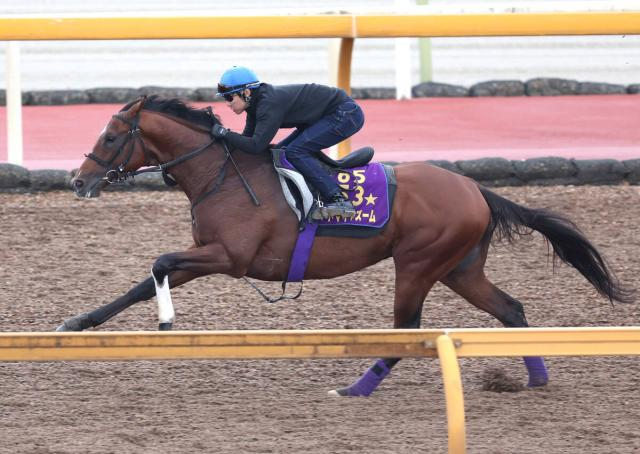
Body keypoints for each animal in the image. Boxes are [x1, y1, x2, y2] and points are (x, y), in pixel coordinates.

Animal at [64, 95, 630, 397]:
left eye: (111, 137)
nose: (78, 180)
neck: (221, 173)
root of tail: (476, 189)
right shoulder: (205, 256)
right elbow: (141, 282)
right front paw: (76, 323)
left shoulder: (231, 257)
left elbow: (158, 263)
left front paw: (166, 322)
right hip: (460, 268)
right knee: (512, 309)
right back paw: (534, 378)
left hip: (419, 264)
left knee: (408, 330)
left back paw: (356, 388)